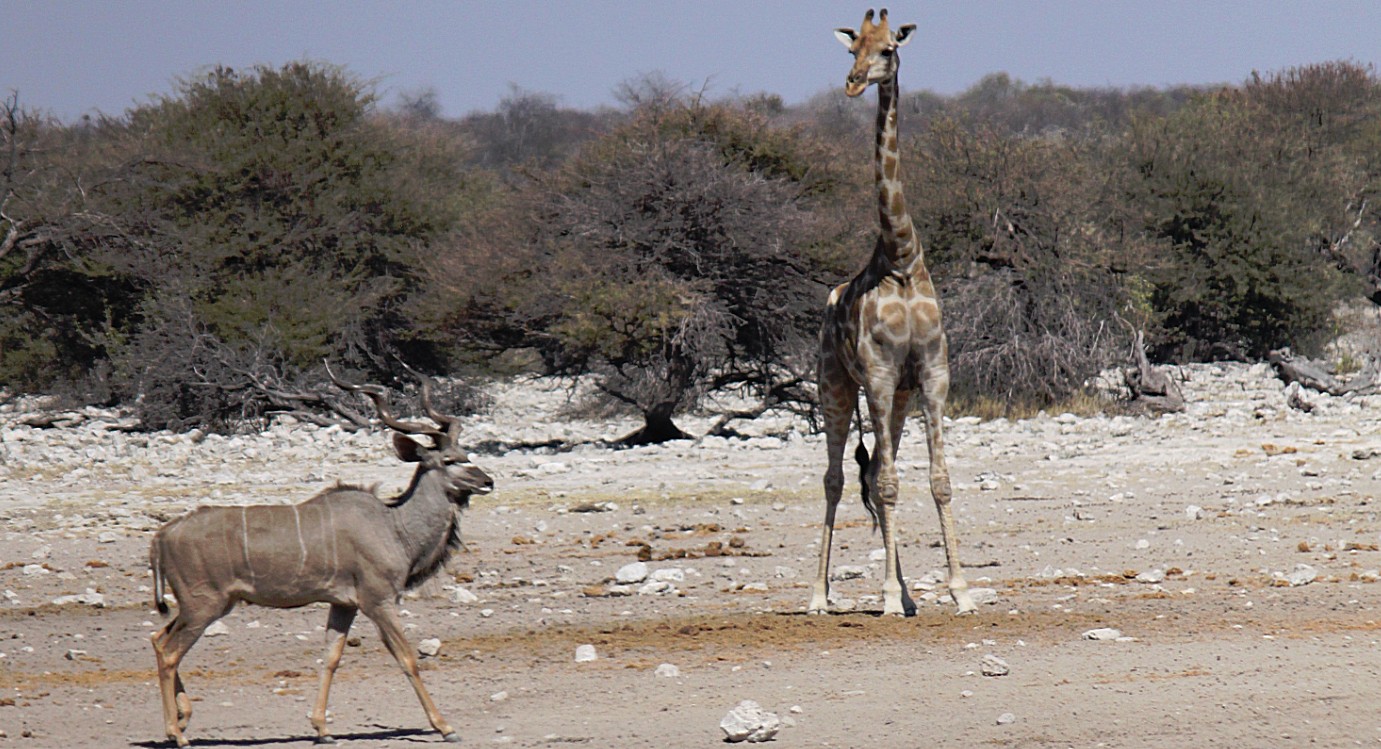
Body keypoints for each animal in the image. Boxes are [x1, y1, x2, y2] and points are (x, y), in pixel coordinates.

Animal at [145, 367, 488, 746]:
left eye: (467, 454)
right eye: (449, 460)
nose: (487, 481)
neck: (393, 525)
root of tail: (163, 535)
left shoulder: (344, 605)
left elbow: (331, 657)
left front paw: (322, 729)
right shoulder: (378, 601)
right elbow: (408, 658)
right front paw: (445, 726)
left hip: (198, 607)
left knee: (158, 639)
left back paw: (183, 717)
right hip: (205, 605)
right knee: (170, 652)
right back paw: (177, 733)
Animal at [812, 8, 977, 619]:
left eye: (887, 49)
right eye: (851, 48)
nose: (853, 82)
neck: (902, 256)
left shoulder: (930, 374)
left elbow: (936, 480)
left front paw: (959, 589)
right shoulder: (880, 374)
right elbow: (884, 484)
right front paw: (883, 595)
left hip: (897, 399)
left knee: (878, 467)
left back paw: (905, 593)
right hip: (835, 384)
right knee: (838, 477)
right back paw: (818, 595)